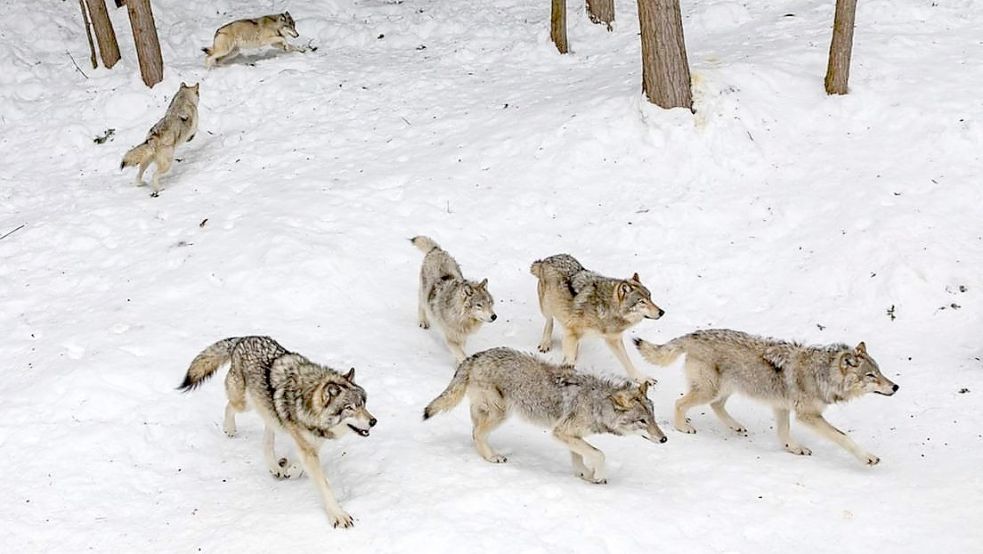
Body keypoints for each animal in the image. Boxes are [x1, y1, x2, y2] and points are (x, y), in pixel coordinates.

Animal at [177, 334, 376, 524]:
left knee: (267, 437)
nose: (373, 421)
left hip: (268, 411)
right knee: (229, 406)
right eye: (350, 408)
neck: (307, 402)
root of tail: (243, 339)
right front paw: (338, 515)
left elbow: (301, 463)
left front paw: (292, 470)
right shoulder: (307, 445)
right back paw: (230, 429)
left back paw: (275, 467)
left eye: (363, 404)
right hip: (245, 404)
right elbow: (323, 484)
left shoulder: (312, 442)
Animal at [422, 348, 668, 480]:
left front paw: (585, 475)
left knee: (474, 431)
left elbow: (579, 456)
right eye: (642, 421)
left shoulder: (571, 435)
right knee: (477, 433)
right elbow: (599, 454)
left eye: (653, 419)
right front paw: (598, 476)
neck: (596, 404)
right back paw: (492, 457)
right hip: (501, 413)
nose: (664, 439)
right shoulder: (561, 432)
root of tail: (475, 356)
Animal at [532, 253, 668, 380]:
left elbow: (627, 362)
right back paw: (545, 344)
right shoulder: (572, 331)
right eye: (642, 302)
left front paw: (642, 379)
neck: (606, 309)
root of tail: (547, 259)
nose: (662, 312)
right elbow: (568, 358)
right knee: (550, 320)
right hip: (547, 307)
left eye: (650, 297)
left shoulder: (614, 339)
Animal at [640, 328, 900, 466]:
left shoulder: (781, 406)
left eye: (880, 372)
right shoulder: (808, 416)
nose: (896, 387)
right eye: (871, 375)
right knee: (680, 403)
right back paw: (683, 427)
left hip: (726, 389)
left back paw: (736, 426)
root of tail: (693, 334)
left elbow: (784, 434)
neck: (823, 374)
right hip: (710, 390)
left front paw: (793, 449)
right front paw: (868, 458)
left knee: (716, 406)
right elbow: (843, 437)